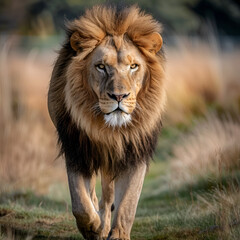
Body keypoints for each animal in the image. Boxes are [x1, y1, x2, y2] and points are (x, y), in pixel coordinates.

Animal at [47, 4, 166, 240]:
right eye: (101, 66)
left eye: (133, 66)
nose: (119, 96)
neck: (111, 130)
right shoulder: (76, 148)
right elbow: (80, 202)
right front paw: (93, 227)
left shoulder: (135, 152)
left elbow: (128, 203)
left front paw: (118, 234)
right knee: (94, 194)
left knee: (109, 195)